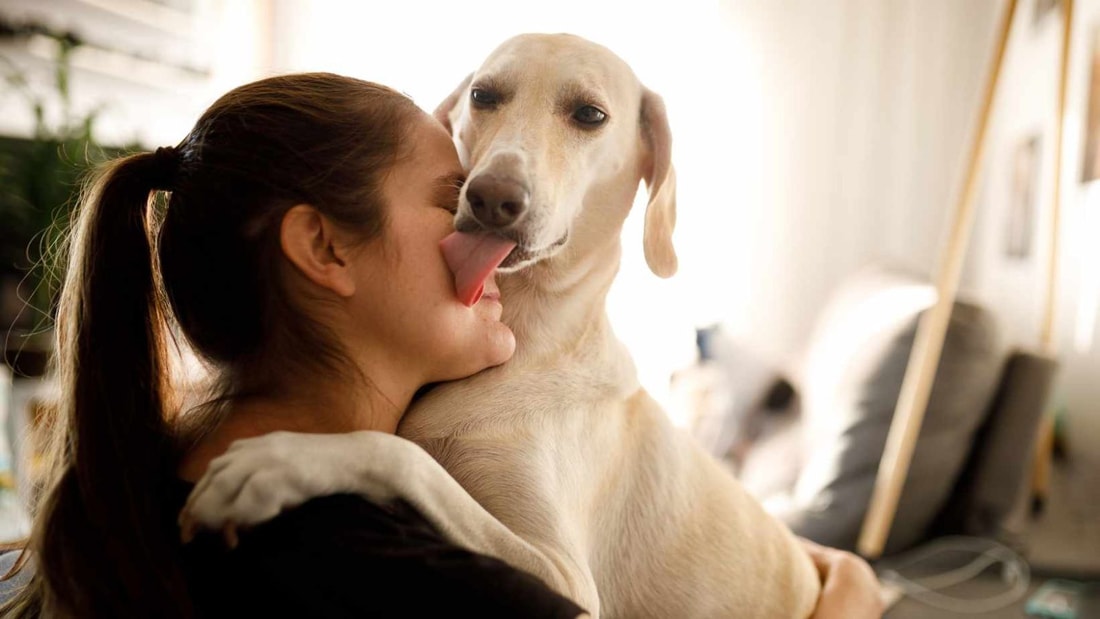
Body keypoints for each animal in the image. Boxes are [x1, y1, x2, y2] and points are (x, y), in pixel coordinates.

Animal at [184, 35, 822, 619]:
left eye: (590, 114)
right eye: (483, 95)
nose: (492, 198)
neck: (524, 337)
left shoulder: (566, 578)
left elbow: (404, 456)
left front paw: (283, 460)